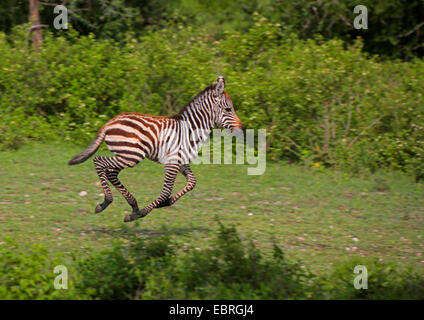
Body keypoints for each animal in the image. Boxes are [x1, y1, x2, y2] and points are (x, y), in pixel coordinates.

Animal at [68, 77, 243, 222]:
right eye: (228, 109)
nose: (242, 130)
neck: (189, 129)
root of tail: (110, 122)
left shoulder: (181, 161)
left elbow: (192, 182)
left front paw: (165, 203)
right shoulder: (172, 163)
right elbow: (166, 191)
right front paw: (143, 212)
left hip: (125, 155)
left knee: (110, 172)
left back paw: (132, 205)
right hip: (131, 155)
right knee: (99, 161)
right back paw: (106, 202)